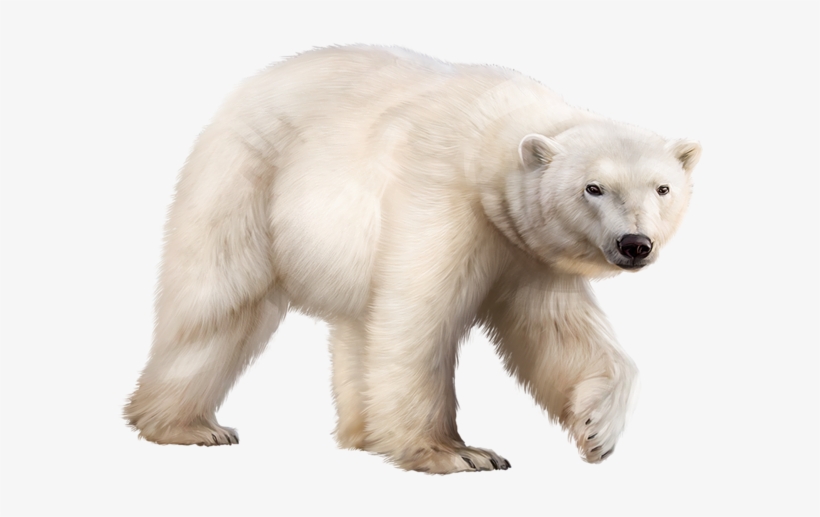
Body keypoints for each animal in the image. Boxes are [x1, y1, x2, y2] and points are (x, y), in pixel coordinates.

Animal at [124, 45, 701, 474]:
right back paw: (188, 426)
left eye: (663, 187)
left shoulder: (523, 246)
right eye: (593, 187)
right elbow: (418, 319)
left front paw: (597, 430)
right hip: (246, 178)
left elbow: (558, 330)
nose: (634, 243)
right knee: (218, 300)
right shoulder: (443, 196)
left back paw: (364, 434)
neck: (490, 133)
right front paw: (458, 453)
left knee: (357, 326)